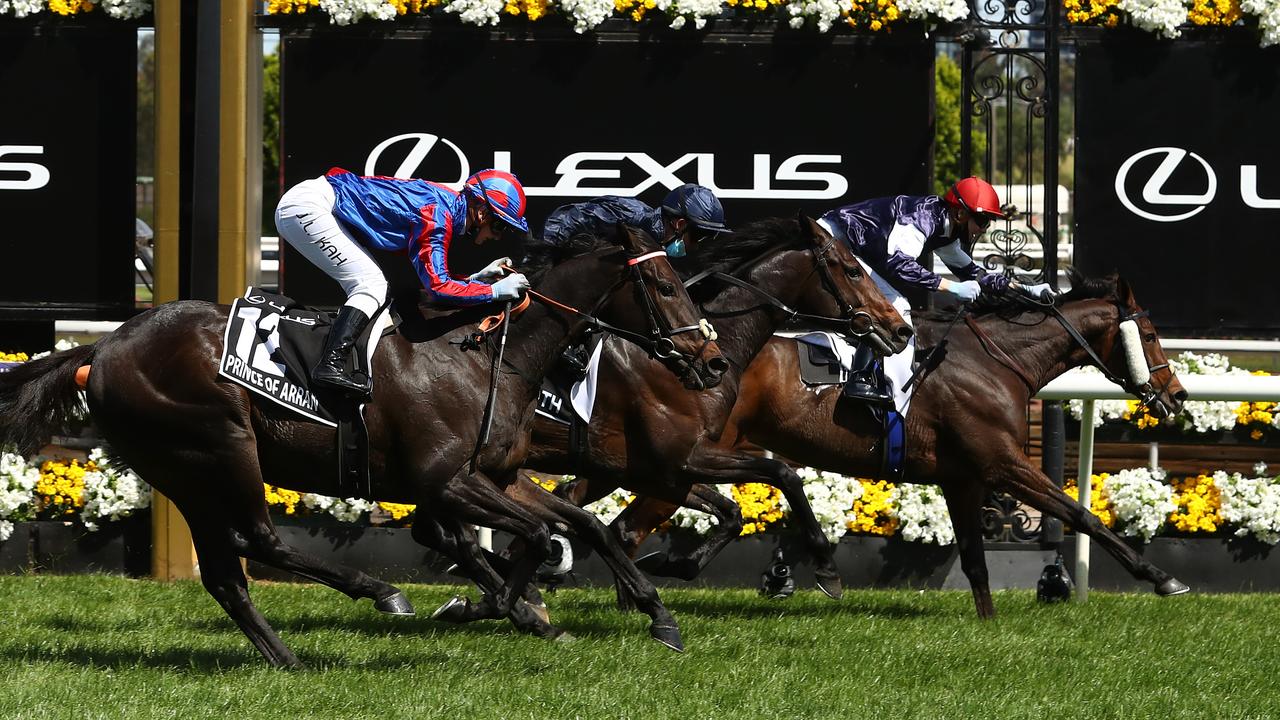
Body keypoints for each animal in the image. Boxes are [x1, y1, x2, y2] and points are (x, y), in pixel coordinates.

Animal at [0, 225, 721, 666]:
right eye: (664, 286)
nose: (712, 362)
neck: (488, 351)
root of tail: (102, 349)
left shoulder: (495, 473)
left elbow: (577, 525)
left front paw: (654, 615)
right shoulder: (445, 481)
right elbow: (543, 535)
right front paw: (494, 605)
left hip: (182, 470)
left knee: (226, 574)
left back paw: (286, 658)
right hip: (220, 445)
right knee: (257, 541)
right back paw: (378, 591)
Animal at [581, 270, 1187, 617]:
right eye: (1150, 333)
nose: (1176, 396)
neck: (996, 362)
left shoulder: (962, 478)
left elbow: (975, 561)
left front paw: (989, 625)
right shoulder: (1000, 464)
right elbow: (1080, 514)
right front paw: (1162, 578)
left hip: (637, 459)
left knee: (612, 517)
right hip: (682, 459)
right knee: (627, 525)